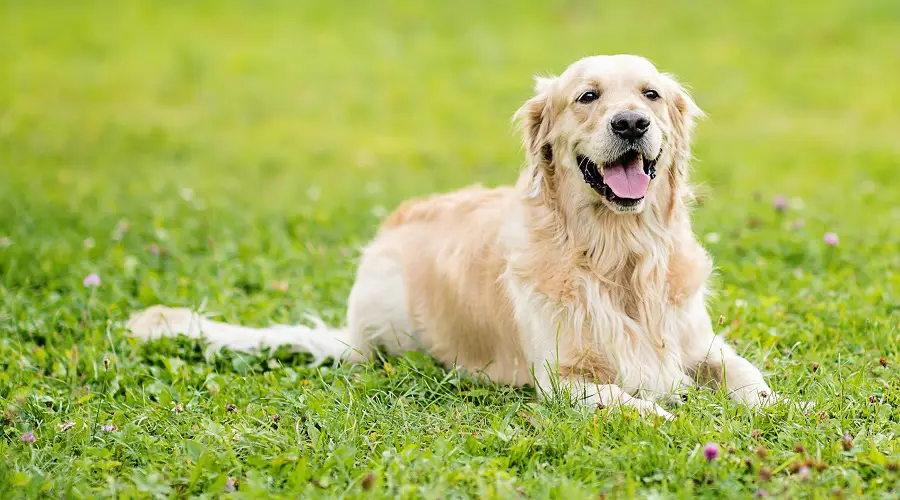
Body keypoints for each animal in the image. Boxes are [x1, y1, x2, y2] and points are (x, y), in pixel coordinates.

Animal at [128, 56, 780, 420]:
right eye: (588, 96)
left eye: (650, 94)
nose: (632, 124)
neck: (618, 254)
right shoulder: (564, 379)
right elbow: (634, 405)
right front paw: (680, 422)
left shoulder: (701, 344)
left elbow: (749, 379)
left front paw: (786, 409)